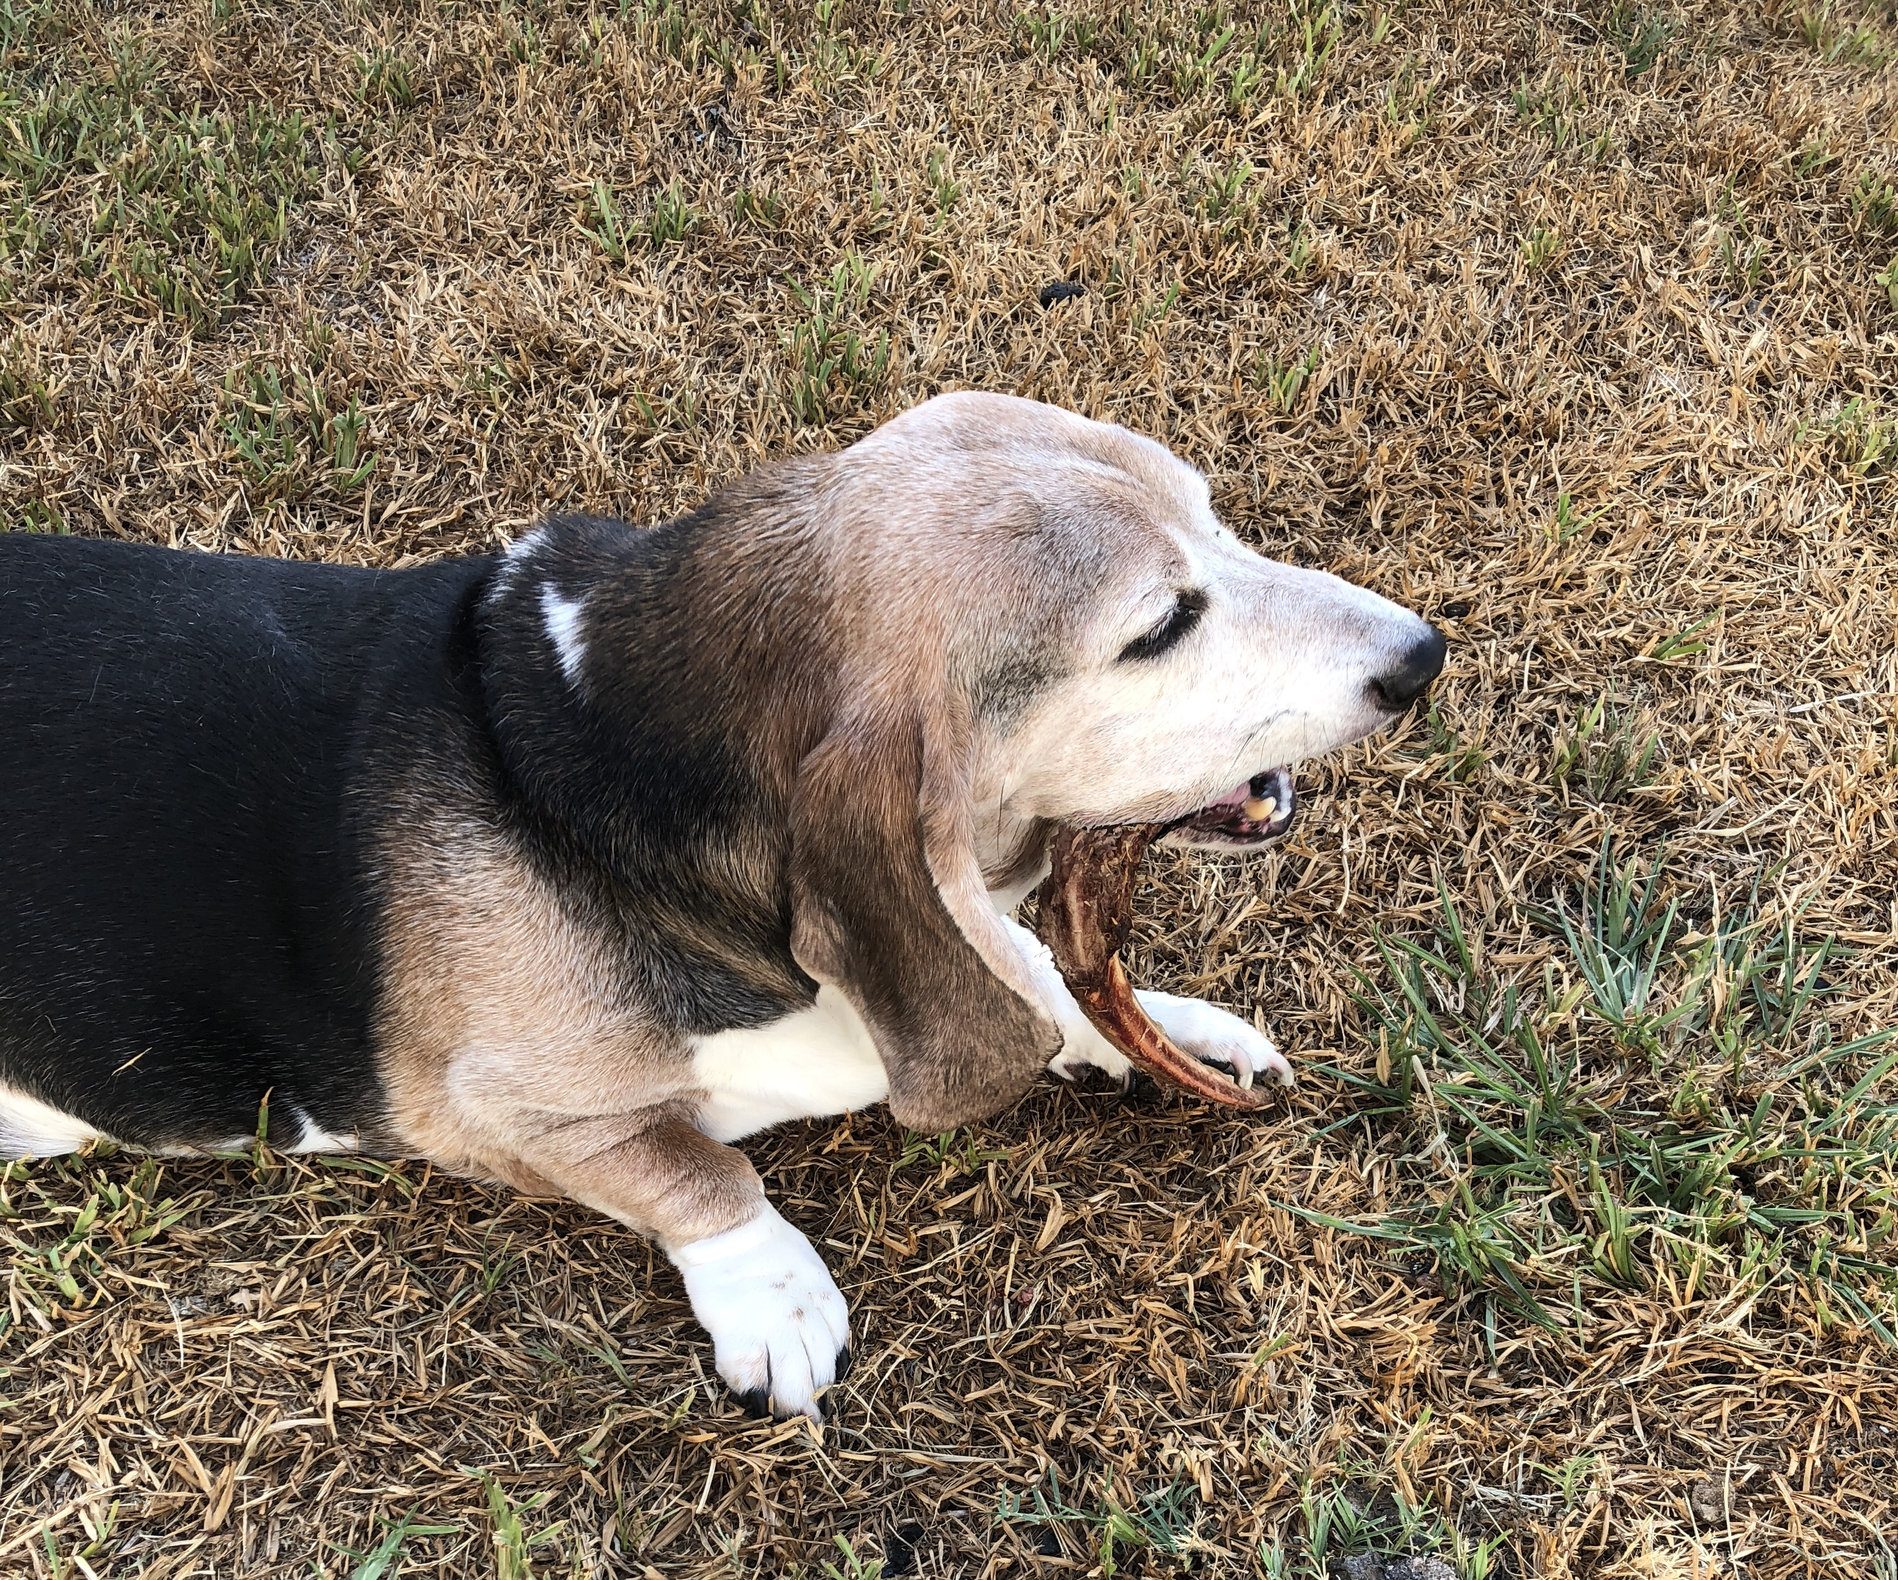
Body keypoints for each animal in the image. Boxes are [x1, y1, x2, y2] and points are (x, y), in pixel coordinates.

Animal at [0, 392, 1442, 1418]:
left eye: (1217, 518)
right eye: (1158, 627)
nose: (1421, 657)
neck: (594, 746)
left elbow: (1029, 973)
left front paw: (1162, 1030)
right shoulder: (468, 1108)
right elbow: (695, 1165)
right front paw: (773, 1294)